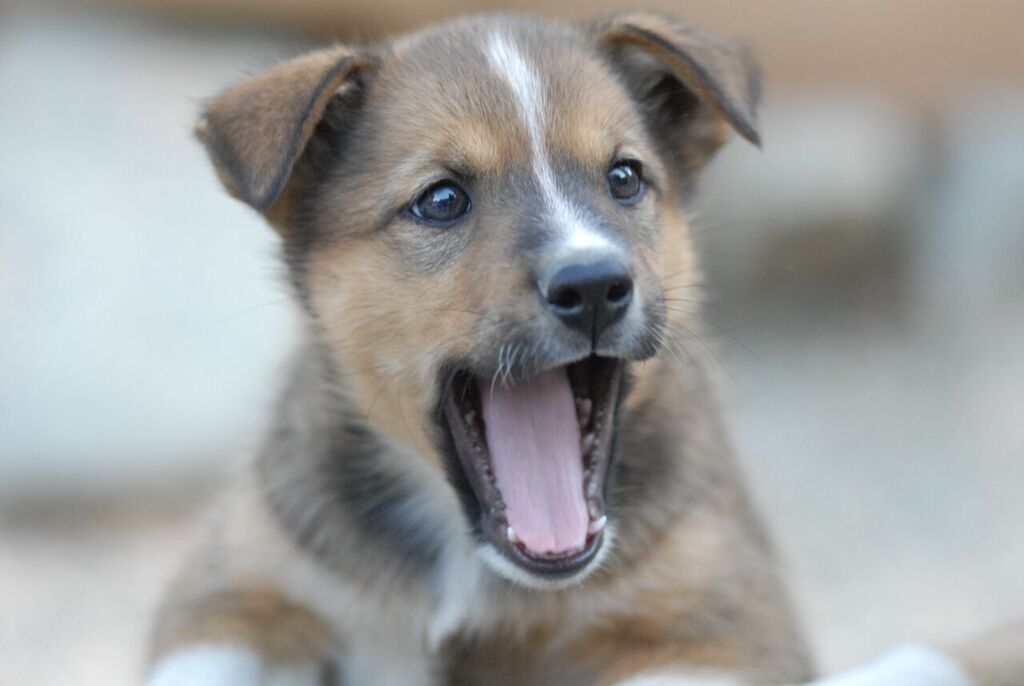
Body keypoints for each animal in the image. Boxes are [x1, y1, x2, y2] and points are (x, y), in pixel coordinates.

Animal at [148, 12, 811, 686]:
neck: (468, 562)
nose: (593, 286)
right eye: (441, 200)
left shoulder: (724, 622)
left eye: (624, 178)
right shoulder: (233, 587)